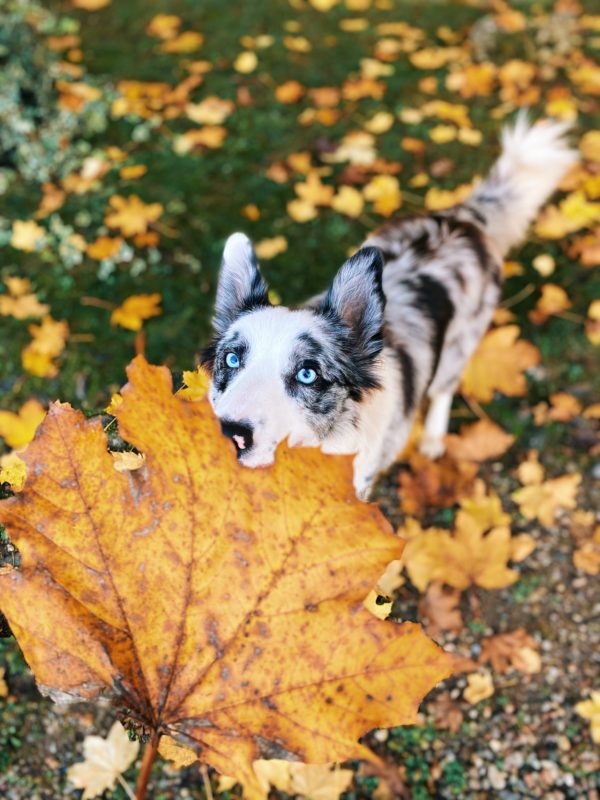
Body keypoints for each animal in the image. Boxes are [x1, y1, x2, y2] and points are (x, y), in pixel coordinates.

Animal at [203, 115, 576, 496]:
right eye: (232, 359)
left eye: (308, 374)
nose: (231, 434)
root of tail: (461, 219)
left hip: (459, 346)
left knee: (443, 390)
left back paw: (432, 439)